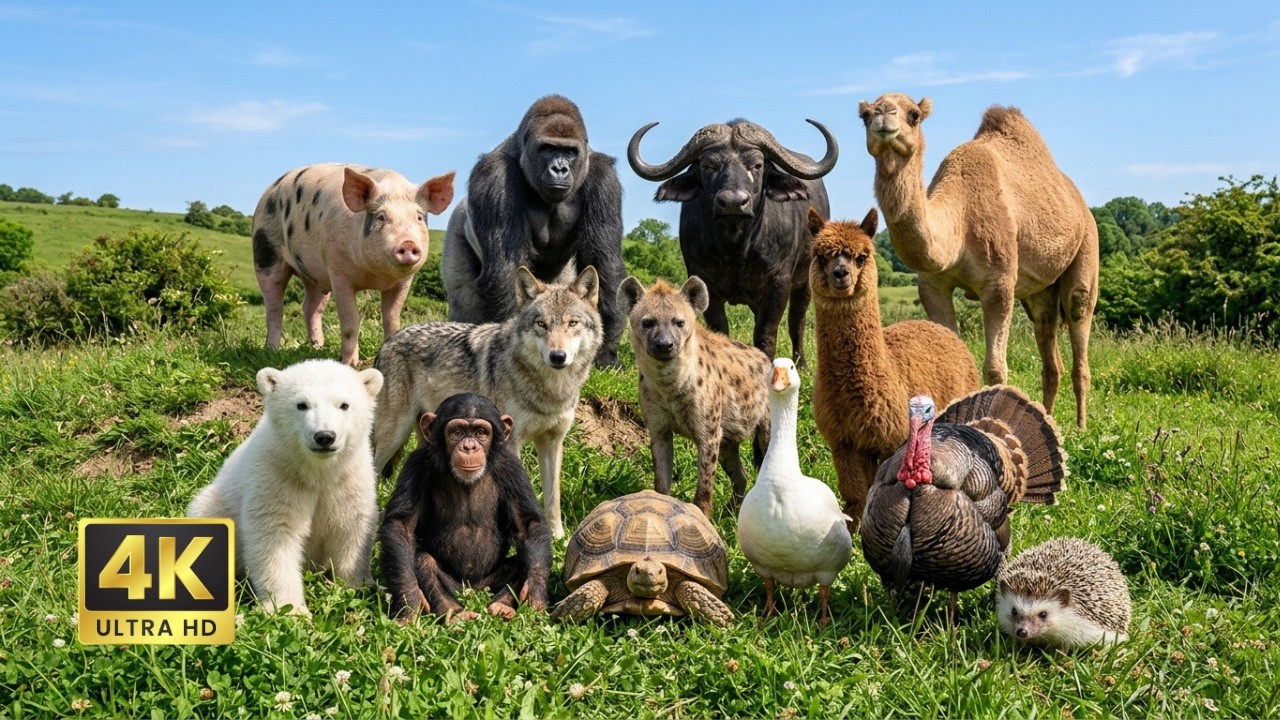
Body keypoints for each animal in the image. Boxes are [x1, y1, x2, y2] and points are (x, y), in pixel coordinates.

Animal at [626, 119, 838, 368]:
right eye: (708, 165)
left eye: (757, 165)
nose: (733, 202)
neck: (736, 248)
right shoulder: (705, 282)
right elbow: (720, 328)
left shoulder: (779, 283)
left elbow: (766, 332)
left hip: (806, 281)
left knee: (798, 320)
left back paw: (801, 363)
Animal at [858, 93, 1098, 428]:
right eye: (865, 115)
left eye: (914, 115)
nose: (883, 114)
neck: (958, 223)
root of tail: (1082, 205)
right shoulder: (932, 286)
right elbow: (951, 352)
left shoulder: (998, 283)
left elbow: (996, 369)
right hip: (1040, 292)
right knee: (1049, 347)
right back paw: (1049, 419)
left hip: (1087, 248)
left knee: (1079, 321)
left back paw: (1080, 427)